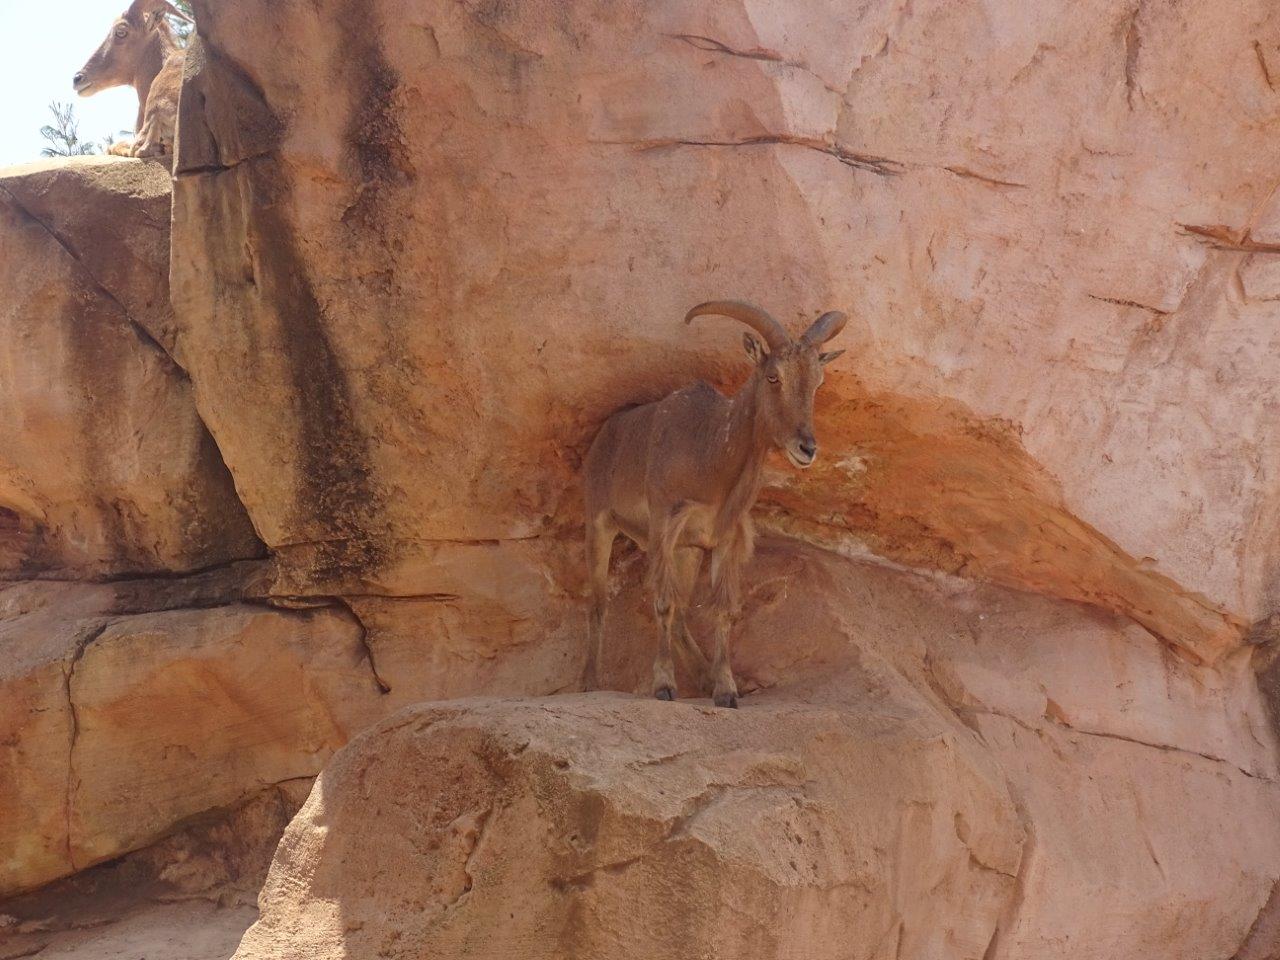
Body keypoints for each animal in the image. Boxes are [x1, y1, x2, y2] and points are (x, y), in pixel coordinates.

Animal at [582, 300, 848, 707]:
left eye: (818, 381)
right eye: (773, 377)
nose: (807, 447)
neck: (710, 455)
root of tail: (604, 434)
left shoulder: (720, 538)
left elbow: (721, 611)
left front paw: (725, 689)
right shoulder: (666, 524)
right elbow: (662, 602)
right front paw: (664, 685)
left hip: (688, 552)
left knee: (679, 615)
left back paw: (703, 677)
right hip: (600, 524)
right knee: (599, 604)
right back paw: (591, 682)